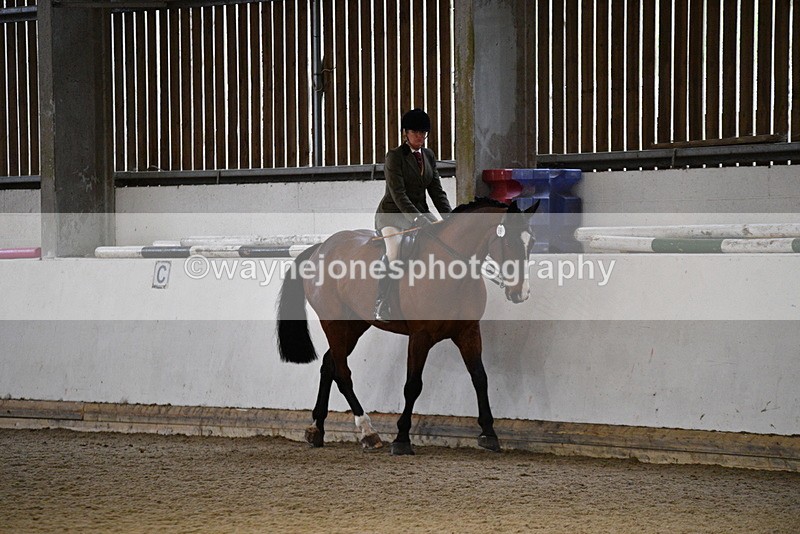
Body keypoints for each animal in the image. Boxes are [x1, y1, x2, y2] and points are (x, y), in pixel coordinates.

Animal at [276, 197, 539, 455]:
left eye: (532, 242)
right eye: (509, 242)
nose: (521, 293)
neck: (448, 270)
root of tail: (321, 248)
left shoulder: (469, 332)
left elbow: (480, 378)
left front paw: (489, 434)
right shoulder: (420, 336)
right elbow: (413, 385)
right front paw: (401, 439)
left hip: (354, 326)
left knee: (329, 364)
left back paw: (316, 429)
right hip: (333, 322)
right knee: (342, 372)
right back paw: (368, 432)